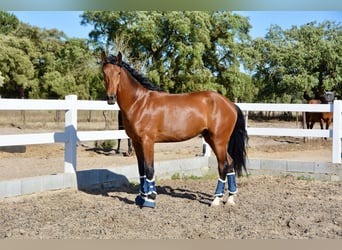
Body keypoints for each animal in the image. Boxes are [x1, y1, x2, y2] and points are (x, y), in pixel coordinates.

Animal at [100, 51, 247, 208]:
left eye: (118, 72)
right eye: (104, 73)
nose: (110, 98)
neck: (139, 102)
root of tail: (231, 104)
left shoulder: (147, 141)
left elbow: (149, 169)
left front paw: (150, 199)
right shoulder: (136, 142)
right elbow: (141, 170)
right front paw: (141, 197)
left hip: (219, 141)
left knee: (223, 165)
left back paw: (216, 199)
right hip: (212, 139)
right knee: (230, 163)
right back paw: (230, 198)